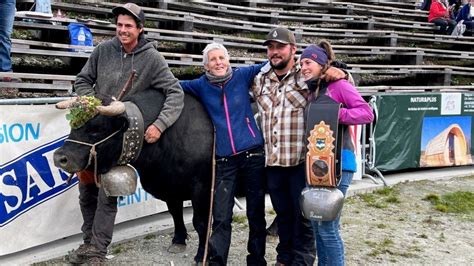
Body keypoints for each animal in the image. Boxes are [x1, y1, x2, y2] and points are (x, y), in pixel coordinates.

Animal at [52, 90, 213, 262]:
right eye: (72, 125)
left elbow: (201, 222)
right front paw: (178, 240)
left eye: (96, 130)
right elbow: (175, 213)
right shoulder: (170, 188)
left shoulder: (201, 188)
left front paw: (202, 254)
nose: (60, 158)